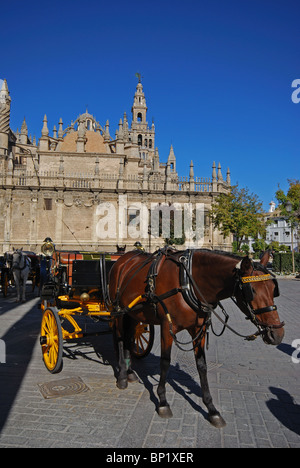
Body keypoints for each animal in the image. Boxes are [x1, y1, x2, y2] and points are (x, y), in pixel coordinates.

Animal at [108, 249, 284, 428]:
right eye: (252, 291)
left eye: (273, 289)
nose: (278, 334)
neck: (188, 282)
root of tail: (123, 258)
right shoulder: (166, 327)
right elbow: (165, 362)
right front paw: (163, 401)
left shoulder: (198, 329)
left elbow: (202, 366)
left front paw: (211, 409)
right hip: (118, 311)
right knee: (120, 339)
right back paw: (122, 376)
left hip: (133, 313)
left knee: (130, 337)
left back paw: (130, 372)